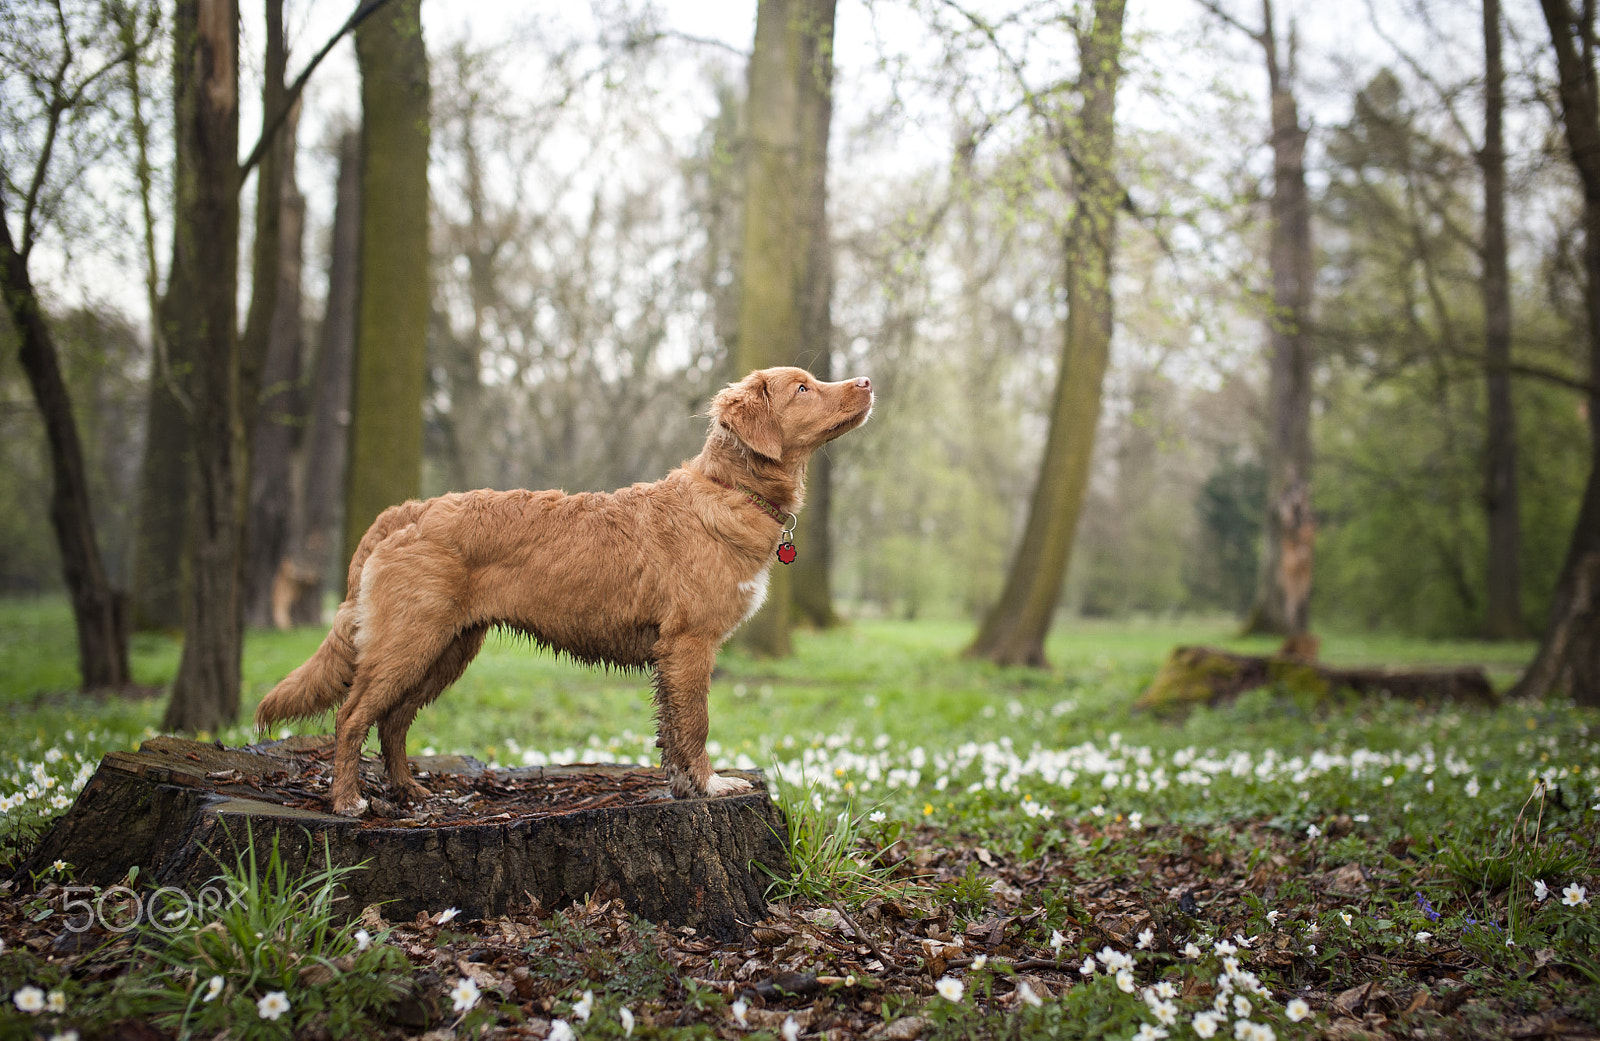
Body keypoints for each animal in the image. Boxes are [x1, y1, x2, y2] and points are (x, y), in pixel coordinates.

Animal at [257, 370, 876, 818]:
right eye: (802, 387)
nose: (866, 381)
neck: (730, 490)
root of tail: (409, 510)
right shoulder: (690, 644)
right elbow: (695, 724)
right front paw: (710, 784)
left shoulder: (673, 656)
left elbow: (671, 731)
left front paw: (684, 787)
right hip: (408, 643)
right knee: (351, 716)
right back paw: (346, 800)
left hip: (447, 650)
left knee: (393, 721)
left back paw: (409, 791)